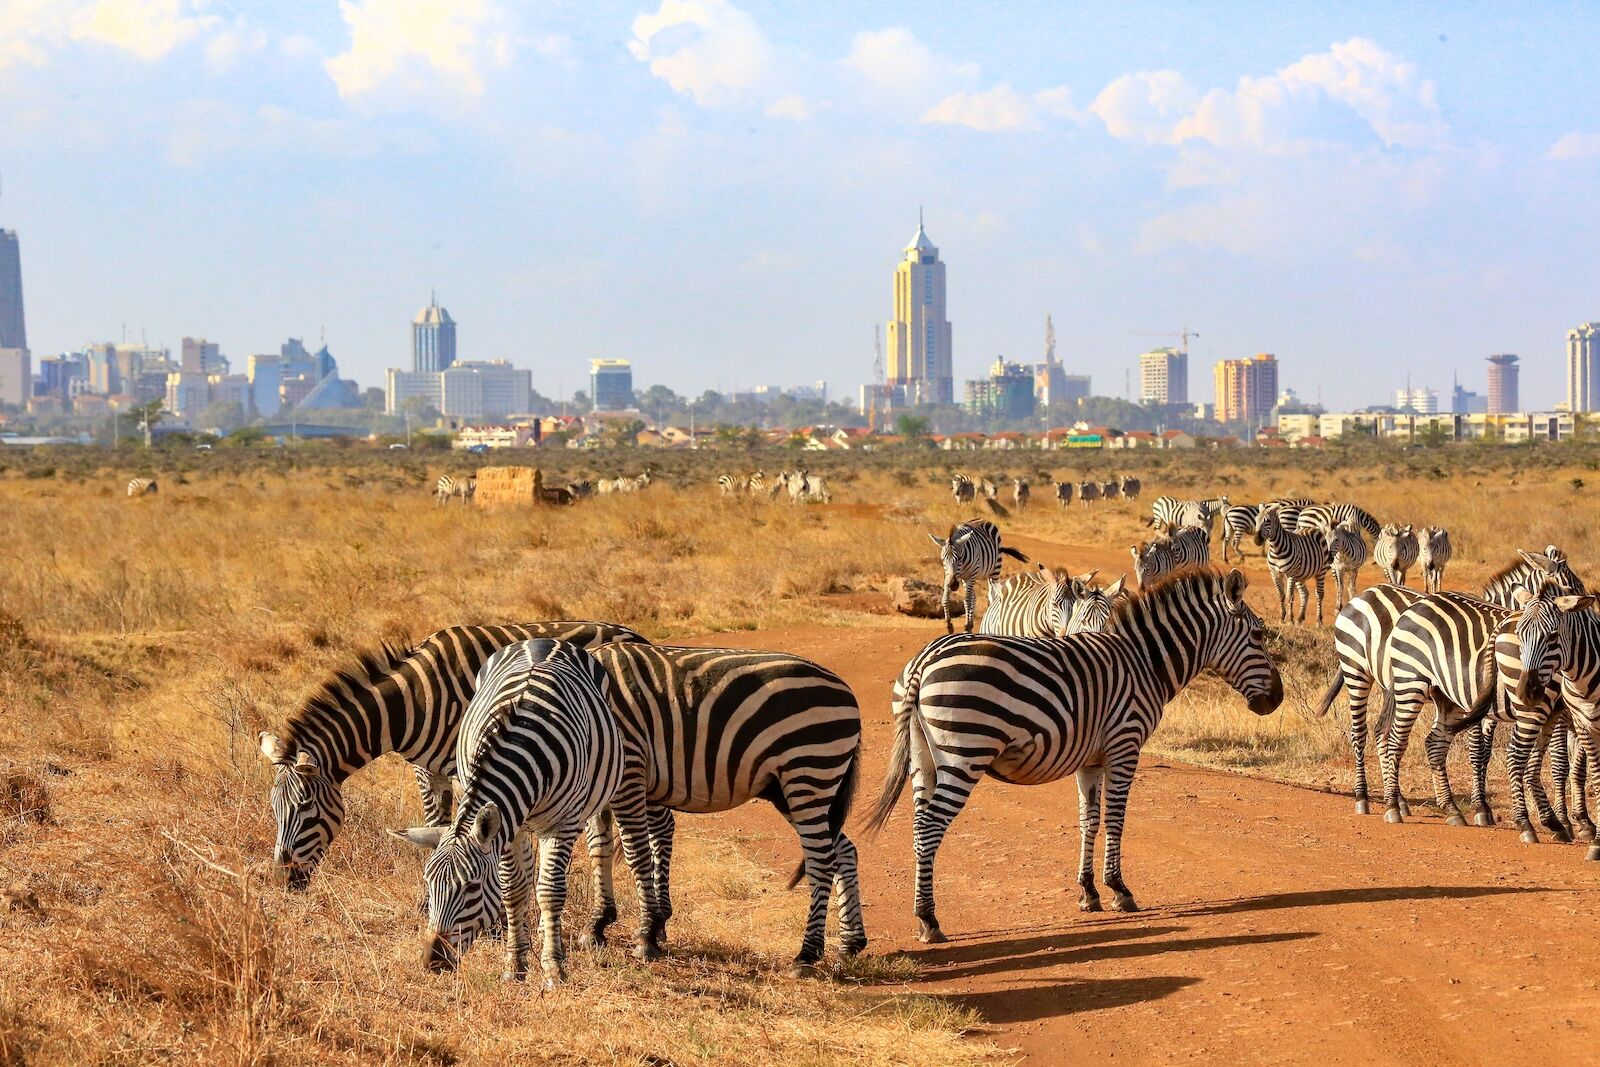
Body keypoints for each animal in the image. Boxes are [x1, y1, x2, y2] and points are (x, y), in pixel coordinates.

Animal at [258, 621, 649, 890]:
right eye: (275, 810)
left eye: (306, 808)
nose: (282, 880)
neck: (410, 703)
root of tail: (635, 634)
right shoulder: (427, 771)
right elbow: (435, 826)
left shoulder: (465, 769)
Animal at [389, 639, 625, 985]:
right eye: (428, 884)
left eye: (471, 887)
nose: (432, 962)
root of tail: (543, 641)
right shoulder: (508, 825)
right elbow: (513, 890)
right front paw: (515, 964)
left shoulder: (563, 823)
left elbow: (550, 890)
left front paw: (554, 967)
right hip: (518, 826)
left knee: (591, 849)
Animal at [862, 569, 1281, 940]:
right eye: (1258, 634)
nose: (1277, 700)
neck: (1144, 662)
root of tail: (924, 661)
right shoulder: (1124, 744)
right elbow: (1115, 819)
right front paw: (1119, 890)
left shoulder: (1090, 760)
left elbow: (1088, 821)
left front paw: (1088, 892)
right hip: (965, 752)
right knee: (931, 827)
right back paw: (929, 920)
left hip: (923, 759)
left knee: (919, 825)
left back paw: (924, 916)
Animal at [1315, 547, 1585, 817]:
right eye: (1572, 588)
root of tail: (1364, 594)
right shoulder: (1476, 697)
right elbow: (1479, 751)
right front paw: (1481, 808)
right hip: (1357, 671)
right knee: (1359, 732)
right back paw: (1363, 797)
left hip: (1392, 686)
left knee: (1382, 731)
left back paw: (1399, 800)